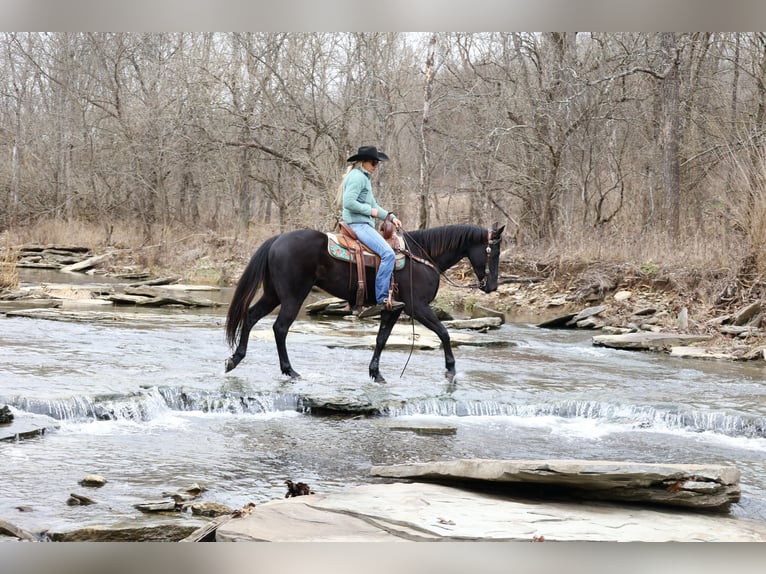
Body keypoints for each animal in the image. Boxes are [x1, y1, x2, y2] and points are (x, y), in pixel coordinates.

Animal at [225, 223, 508, 384]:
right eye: (493, 252)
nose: (492, 286)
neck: (422, 257)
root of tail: (276, 240)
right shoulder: (418, 307)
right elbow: (444, 333)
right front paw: (450, 369)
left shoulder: (394, 309)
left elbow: (381, 339)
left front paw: (375, 373)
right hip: (293, 296)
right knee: (280, 328)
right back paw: (290, 371)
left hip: (273, 294)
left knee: (250, 317)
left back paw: (235, 359)